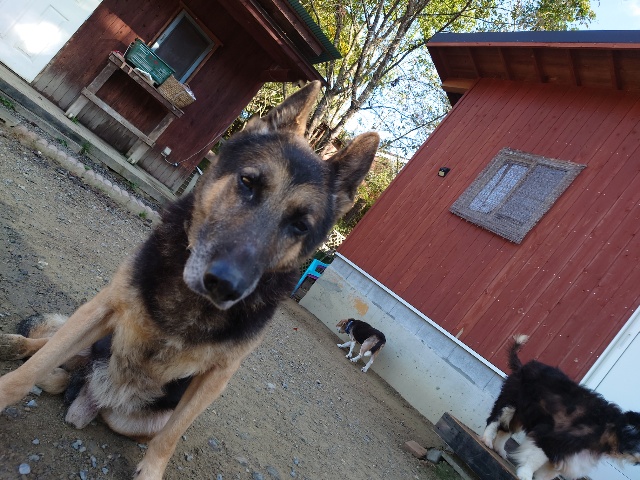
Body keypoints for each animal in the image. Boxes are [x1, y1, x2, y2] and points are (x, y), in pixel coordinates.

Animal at [0, 81, 379, 480]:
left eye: (301, 225)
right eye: (248, 182)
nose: (225, 285)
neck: (190, 301)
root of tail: (91, 390)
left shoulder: (216, 377)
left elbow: (170, 437)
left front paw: (151, 471)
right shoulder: (104, 309)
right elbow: (28, 372)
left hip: (125, 414)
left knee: (61, 377)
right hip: (94, 331)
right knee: (45, 347)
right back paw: (14, 344)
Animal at [481, 335, 640, 480]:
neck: (607, 428)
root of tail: (523, 366)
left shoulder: (568, 455)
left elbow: (548, 474)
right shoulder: (550, 439)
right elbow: (535, 459)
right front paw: (525, 474)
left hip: (522, 414)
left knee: (505, 430)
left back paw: (500, 450)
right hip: (510, 402)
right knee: (494, 419)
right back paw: (487, 440)